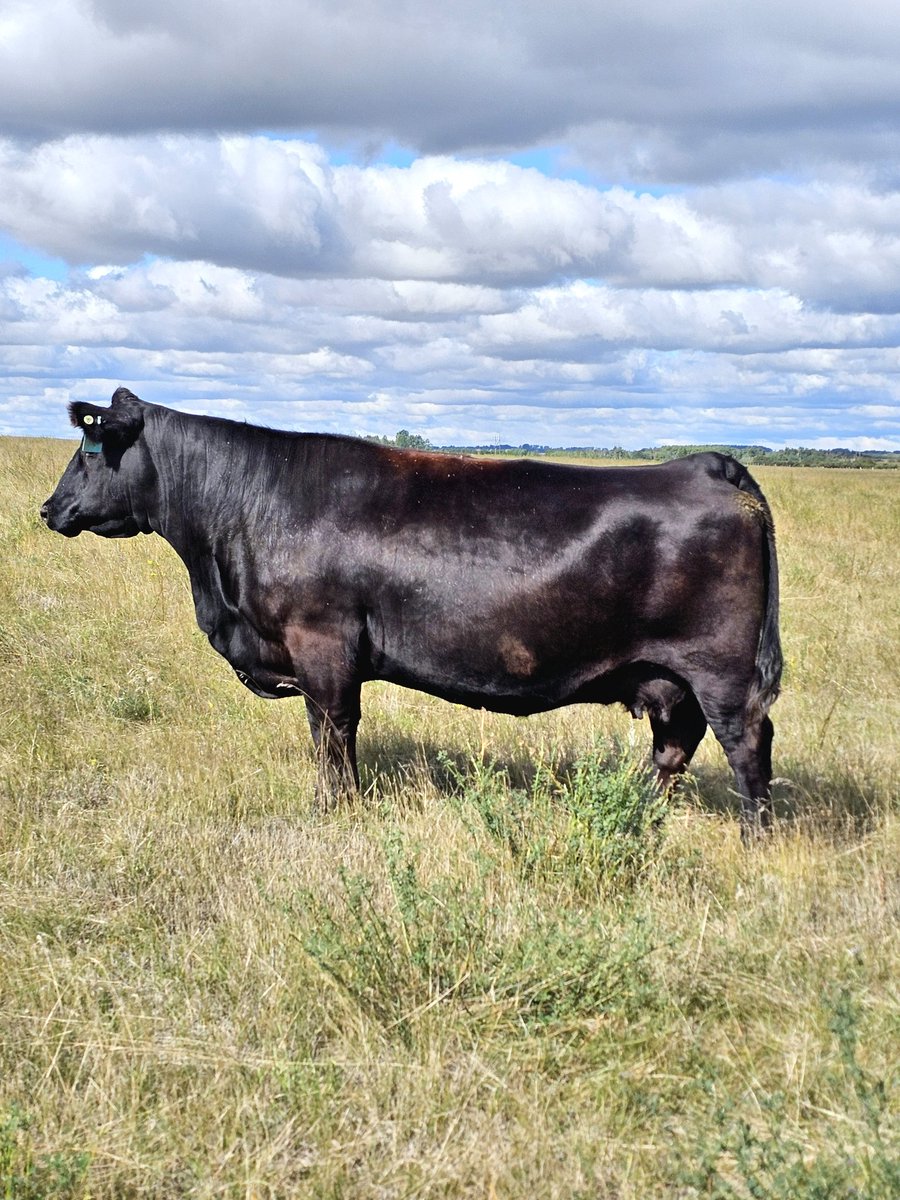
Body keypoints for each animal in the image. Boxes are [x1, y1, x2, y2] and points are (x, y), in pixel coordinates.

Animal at [41, 388, 782, 835]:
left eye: (90, 451)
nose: (50, 509)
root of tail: (703, 465)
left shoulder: (322, 644)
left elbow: (332, 732)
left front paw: (334, 807)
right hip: (671, 677)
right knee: (674, 745)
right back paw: (641, 813)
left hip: (719, 670)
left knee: (746, 744)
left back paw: (755, 835)